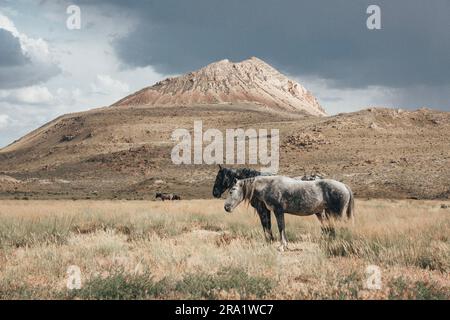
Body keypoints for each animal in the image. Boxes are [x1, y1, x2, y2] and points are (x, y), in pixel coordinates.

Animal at [223, 176, 354, 251]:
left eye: (231, 191)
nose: (226, 207)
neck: (269, 185)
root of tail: (345, 186)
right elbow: (282, 227)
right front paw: (284, 245)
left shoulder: (278, 211)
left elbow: (281, 227)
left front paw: (282, 246)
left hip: (337, 214)